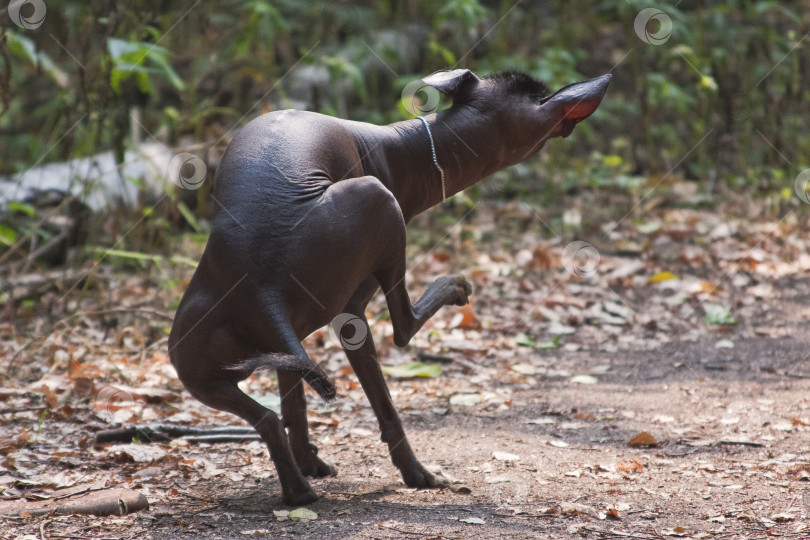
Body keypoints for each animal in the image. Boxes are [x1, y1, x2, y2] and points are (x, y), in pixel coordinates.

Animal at [170, 68, 608, 506]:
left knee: (267, 417)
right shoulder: (354, 310)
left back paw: (298, 488)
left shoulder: (312, 338)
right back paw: (452, 289)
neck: (411, 148)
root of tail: (258, 284)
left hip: (201, 371)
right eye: (539, 96)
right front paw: (413, 474)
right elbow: (384, 386)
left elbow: (299, 400)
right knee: (403, 325)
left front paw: (312, 460)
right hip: (378, 204)